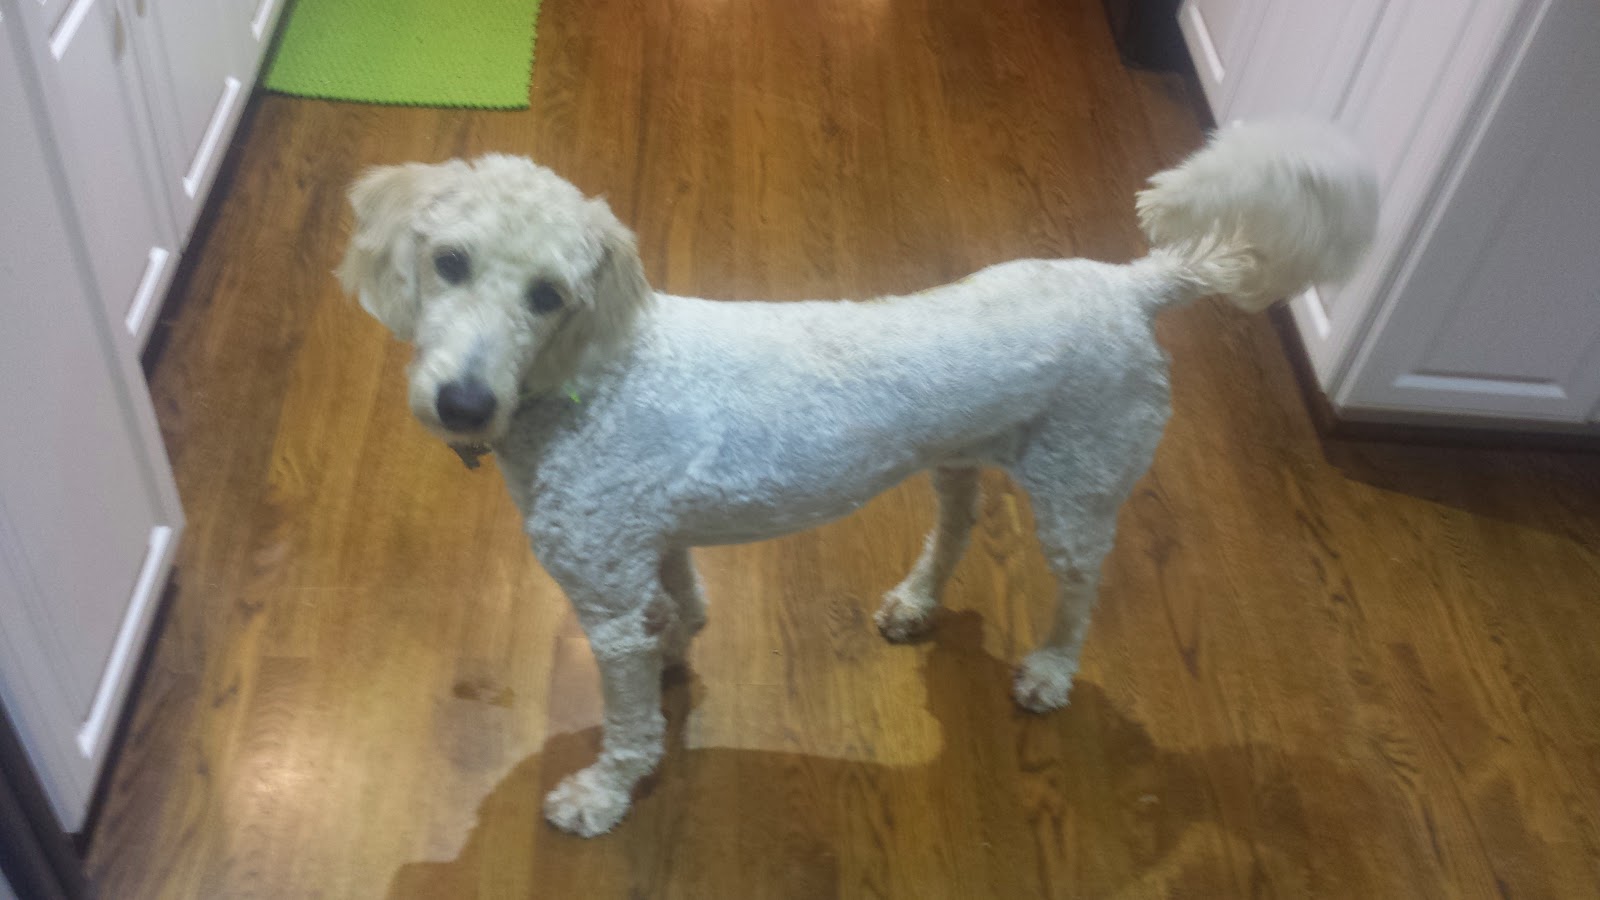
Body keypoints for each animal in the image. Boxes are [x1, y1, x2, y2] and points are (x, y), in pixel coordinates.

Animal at [337, 119, 1377, 836]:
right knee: (957, 523)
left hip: (1079, 491)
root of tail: (1130, 286)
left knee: (1082, 587)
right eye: (449, 262)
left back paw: (1048, 670)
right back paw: (917, 601)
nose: (464, 404)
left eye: (549, 295)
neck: (595, 375)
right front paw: (679, 648)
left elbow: (629, 715)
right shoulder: (650, 543)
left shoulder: (604, 591)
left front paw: (605, 792)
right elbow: (678, 607)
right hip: (955, 455)